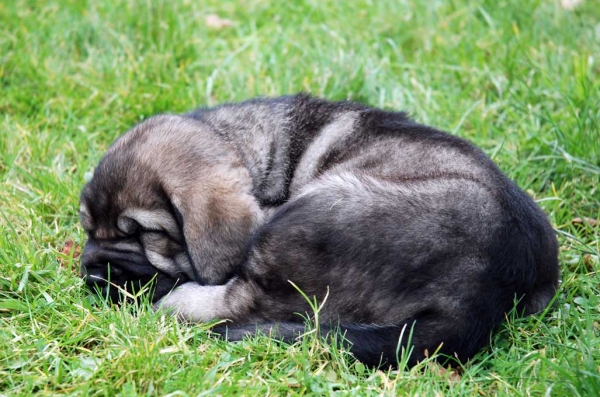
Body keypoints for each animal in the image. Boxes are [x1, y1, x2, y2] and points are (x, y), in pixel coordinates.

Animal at [78, 94, 556, 366]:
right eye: (87, 228)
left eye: (145, 234)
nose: (94, 276)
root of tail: (476, 298)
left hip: (309, 215)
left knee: (245, 303)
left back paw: (176, 303)